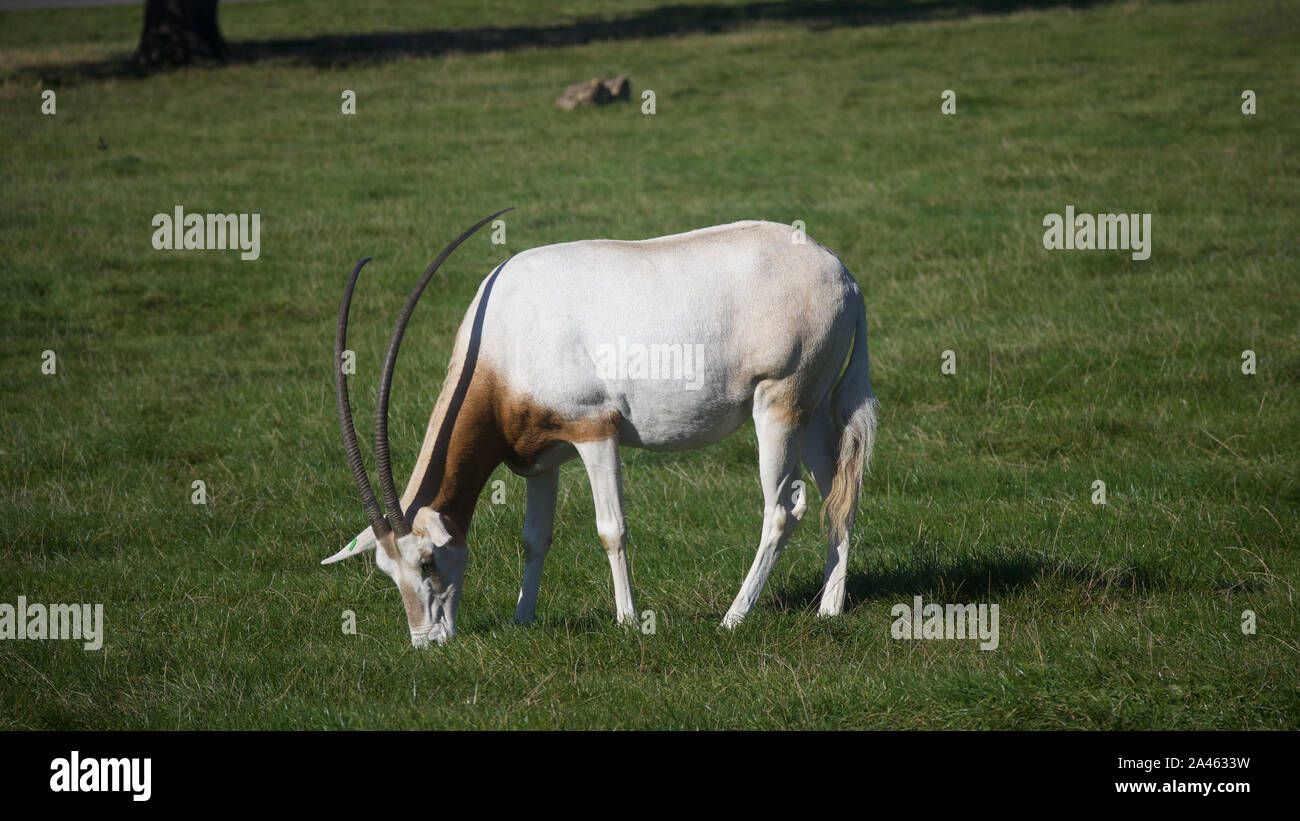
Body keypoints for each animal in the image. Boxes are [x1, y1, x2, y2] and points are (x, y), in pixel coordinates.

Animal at [319, 211, 878, 646]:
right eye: (388, 571)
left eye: (428, 562)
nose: (427, 642)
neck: (504, 337)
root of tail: (845, 277)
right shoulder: (537, 458)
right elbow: (534, 537)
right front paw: (522, 620)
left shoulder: (595, 432)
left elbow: (612, 529)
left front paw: (627, 621)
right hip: (810, 411)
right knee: (838, 493)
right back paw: (829, 609)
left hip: (778, 406)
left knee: (781, 511)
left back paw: (733, 618)